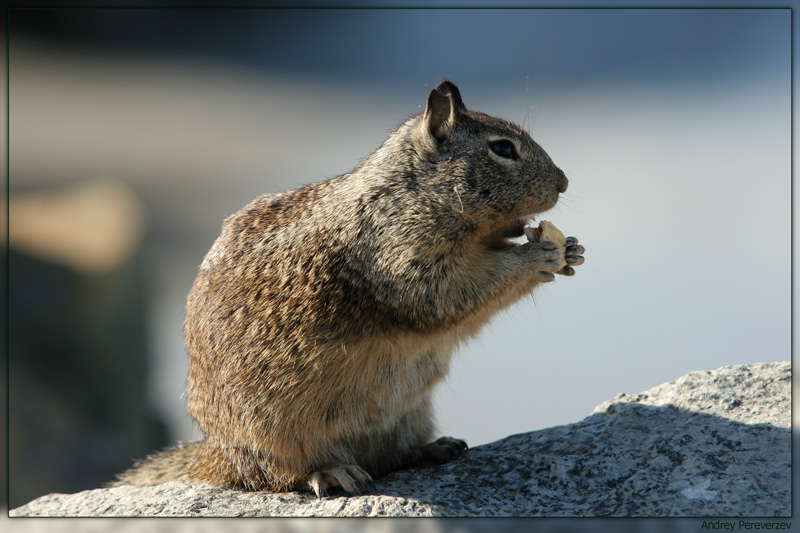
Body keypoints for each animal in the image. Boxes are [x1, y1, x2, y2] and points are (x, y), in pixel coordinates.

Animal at [112, 81, 584, 496]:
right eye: (502, 149)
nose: (563, 181)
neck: (410, 193)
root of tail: (213, 455)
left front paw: (573, 250)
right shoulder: (400, 259)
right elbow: (452, 294)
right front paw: (534, 257)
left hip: (411, 414)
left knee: (389, 456)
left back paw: (432, 448)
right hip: (267, 438)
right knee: (271, 476)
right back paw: (329, 473)